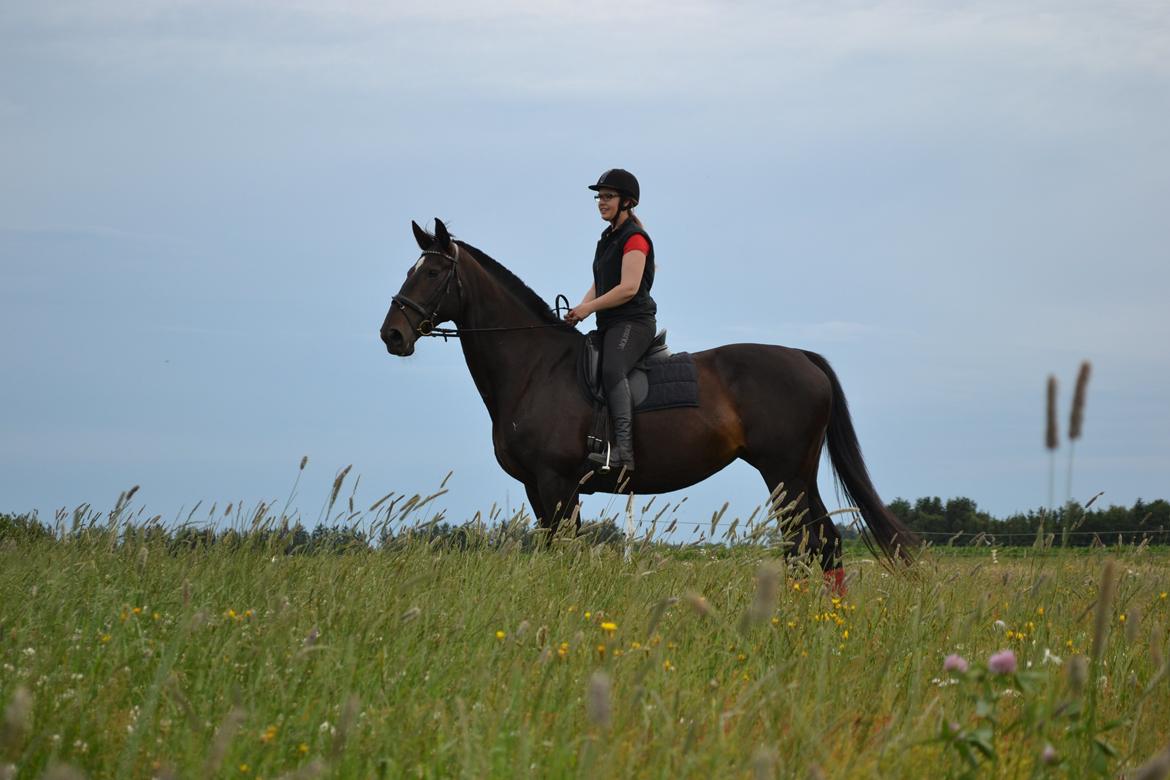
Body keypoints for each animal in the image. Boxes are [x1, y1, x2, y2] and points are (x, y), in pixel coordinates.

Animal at [379, 216, 917, 582]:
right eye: (409, 269)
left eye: (432, 274)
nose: (392, 334)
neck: (535, 367)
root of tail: (804, 358)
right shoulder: (538, 488)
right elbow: (557, 551)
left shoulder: (556, 483)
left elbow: (564, 553)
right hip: (795, 475)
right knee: (815, 543)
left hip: (785, 471)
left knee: (811, 541)